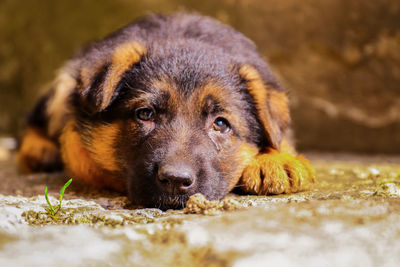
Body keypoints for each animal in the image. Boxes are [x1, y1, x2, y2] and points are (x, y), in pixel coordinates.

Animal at [16, 12, 316, 210]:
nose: (175, 180)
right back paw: (38, 149)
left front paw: (276, 160)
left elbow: (280, 136)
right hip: (63, 84)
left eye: (221, 124)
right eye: (145, 114)